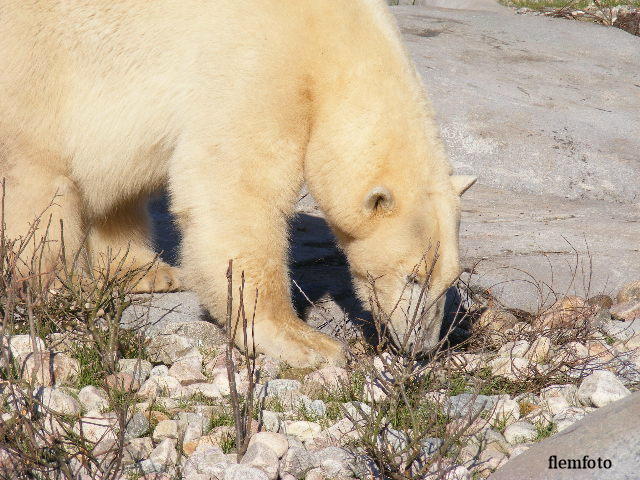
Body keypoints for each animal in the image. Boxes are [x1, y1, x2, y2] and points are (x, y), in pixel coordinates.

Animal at [0, 0, 476, 368]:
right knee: (37, 178)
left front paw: (142, 270)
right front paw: (305, 343)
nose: (422, 348)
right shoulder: (256, 62)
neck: (334, 36)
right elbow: (238, 189)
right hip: (34, 69)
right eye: (413, 276)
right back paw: (53, 288)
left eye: (448, 280)